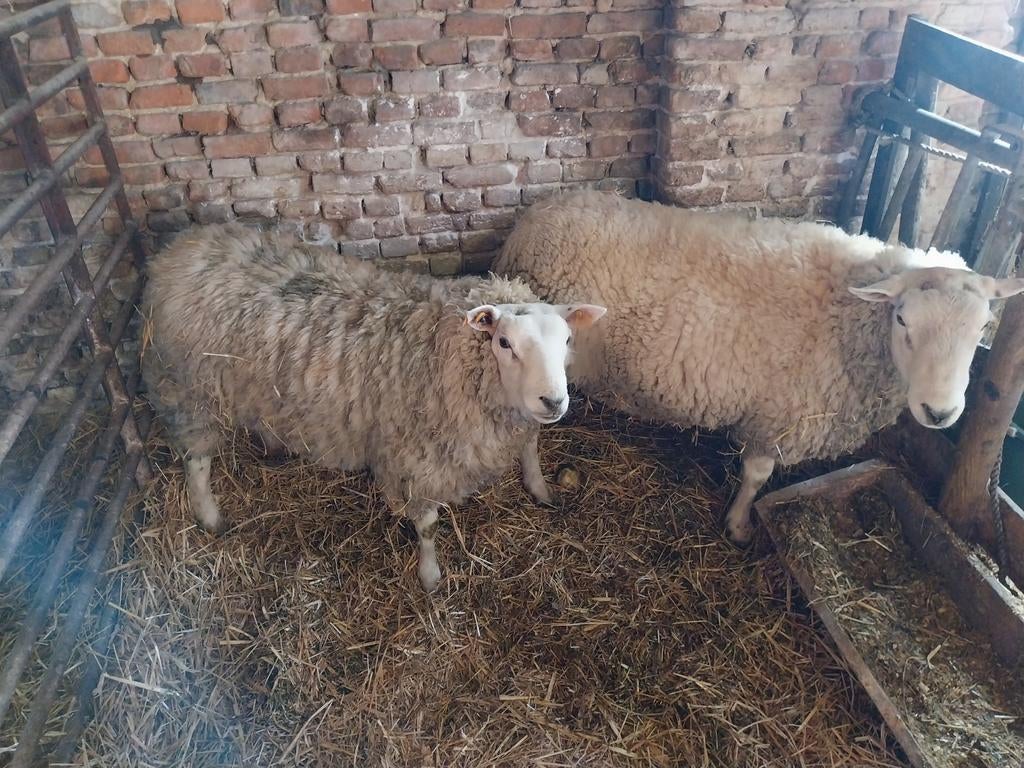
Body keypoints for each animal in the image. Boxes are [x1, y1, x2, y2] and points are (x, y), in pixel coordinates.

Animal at [141, 223, 606, 591]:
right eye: (504, 343)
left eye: (567, 339)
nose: (554, 400)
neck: (442, 347)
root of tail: (177, 249)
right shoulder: (416, 459)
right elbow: (428, 526)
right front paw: (430, 578)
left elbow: (530, 451)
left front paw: (541, 490)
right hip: (190, 390)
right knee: (196, 459)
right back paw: (209, 515)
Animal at [494, 190, 1024, 544]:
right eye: (902, 319)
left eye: (983, 327)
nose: (940, 412)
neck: (843, 312)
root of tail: (532, 218)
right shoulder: (776, 415)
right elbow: (756, 476)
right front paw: (739, 525)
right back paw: (539, 486)